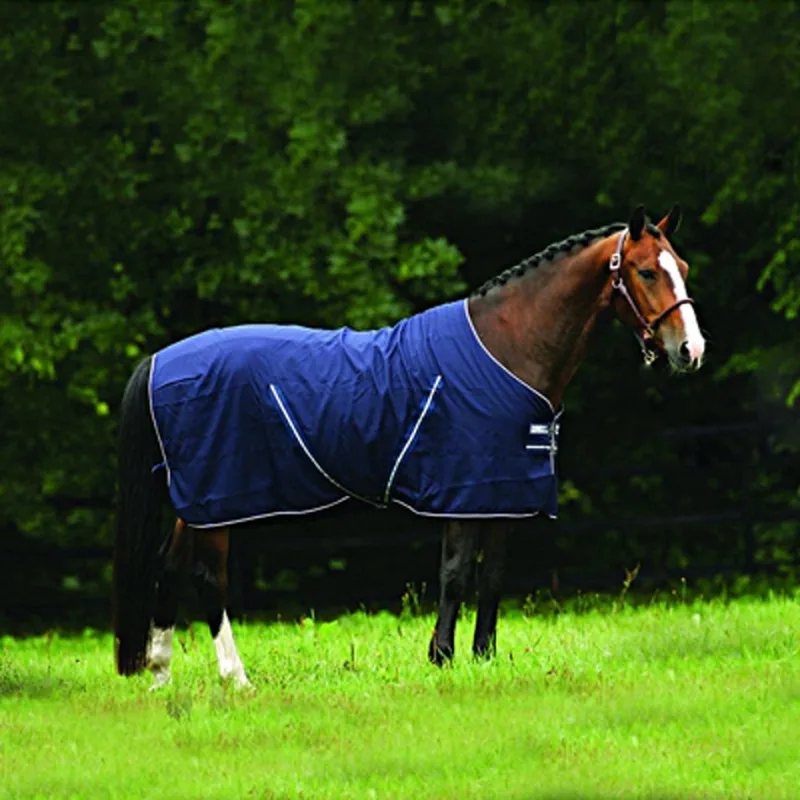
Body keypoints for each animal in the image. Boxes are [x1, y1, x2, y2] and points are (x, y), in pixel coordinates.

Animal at [112, 205, 706, 689]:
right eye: (646, 271)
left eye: (683, 267)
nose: (691, 349)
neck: (507, 349)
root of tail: (161, 359)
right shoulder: (466, 489)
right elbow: (456, 573)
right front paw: (441, 658)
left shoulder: (505, 492)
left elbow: (492, 577)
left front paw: (484, 659)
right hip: (219, 500)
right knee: (207, 578)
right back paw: (237, 680)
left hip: (195, 503)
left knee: (168, 567)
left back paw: (160, 675)